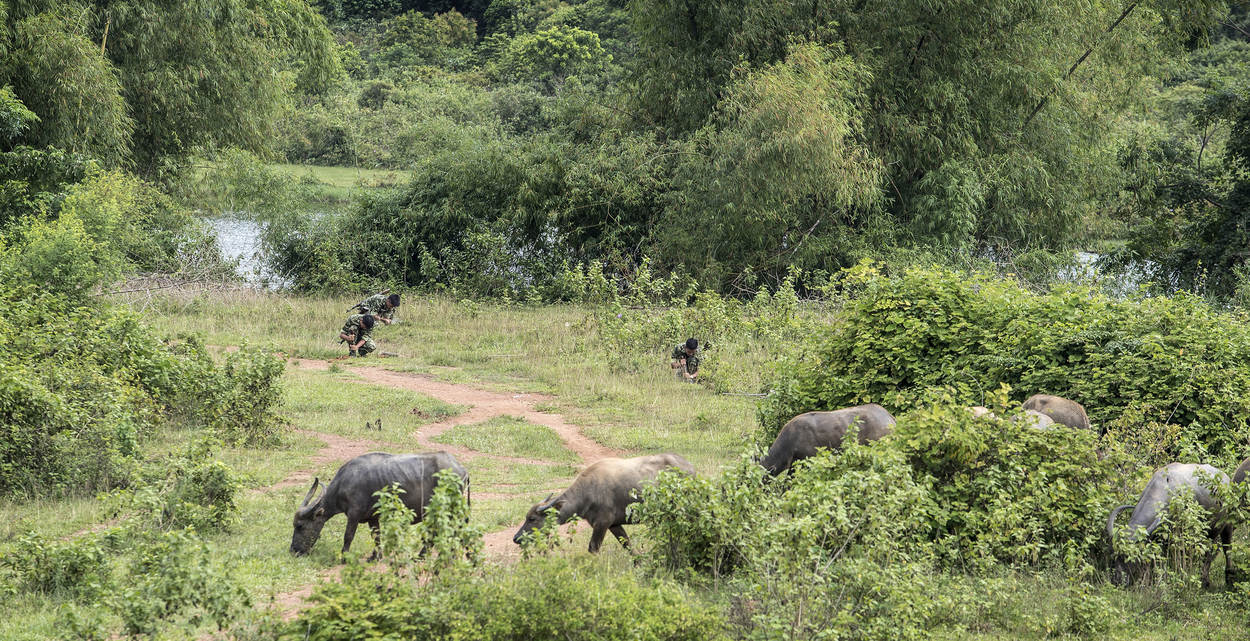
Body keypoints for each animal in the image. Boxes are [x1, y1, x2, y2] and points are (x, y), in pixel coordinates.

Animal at [290, 451, 469, 558]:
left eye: (299, 526)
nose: (293, 550)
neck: (343, 484)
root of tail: (461, 469)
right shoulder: (373, 518)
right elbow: (376, 536)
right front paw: (375, 556)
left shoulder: (354, 515)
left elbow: (348, 536)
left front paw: (344, 557)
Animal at [513, 454, 695, 553]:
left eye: (532, 519)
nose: (516, 538)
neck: (587, 492)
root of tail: (691, 468)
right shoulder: (614, 525)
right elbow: (627, 545)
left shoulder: (602, 523)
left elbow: (593, 548)